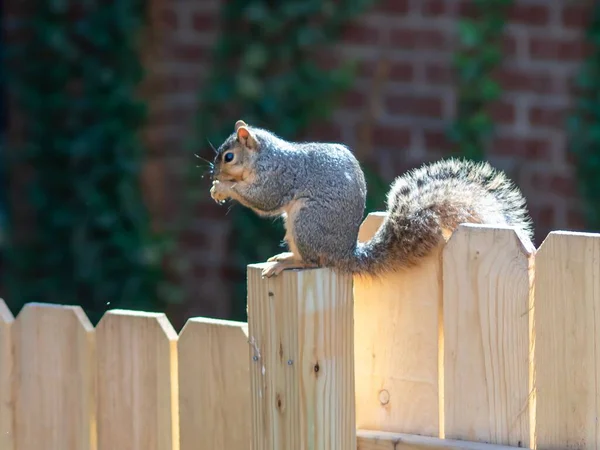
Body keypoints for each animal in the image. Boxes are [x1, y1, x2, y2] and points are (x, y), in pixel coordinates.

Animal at [210, 121, 536, 280]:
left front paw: (224, 187)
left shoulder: (279, 176)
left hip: (307, 222)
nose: (212, 172)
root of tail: (344, 254)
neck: (265, 156)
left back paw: (288, 262)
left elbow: (264, 199)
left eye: (228, 157)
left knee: (313, 262)